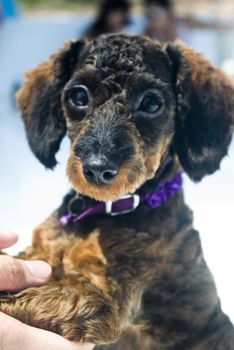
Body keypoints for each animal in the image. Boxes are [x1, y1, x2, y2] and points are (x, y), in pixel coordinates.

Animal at [0, 33, 234, 350]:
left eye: (151, 103)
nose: (98, 168)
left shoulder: (99, 300)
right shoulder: (39, 252)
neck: (105, 211)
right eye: (79, 97)